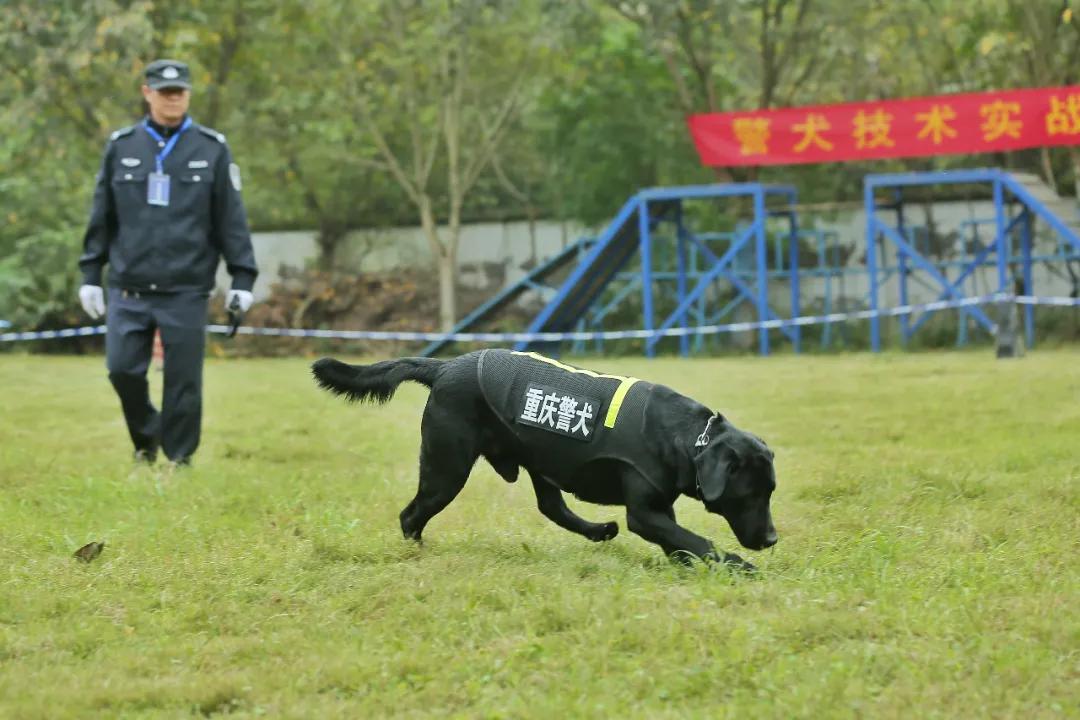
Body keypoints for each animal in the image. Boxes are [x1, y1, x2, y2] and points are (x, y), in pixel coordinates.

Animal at [313, 351, 777, 569]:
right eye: (750, 494)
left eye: (771, 492)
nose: (772, 539)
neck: (688, 438)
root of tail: (443, 367)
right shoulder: (645, 512)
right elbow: (696, 540)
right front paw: (739, 566)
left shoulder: (659, 508)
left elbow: (682, 541)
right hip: (447, 468)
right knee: (411, 515)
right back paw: (417, 552)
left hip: (538, 458)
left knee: (551, 506)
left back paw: (598, 531)